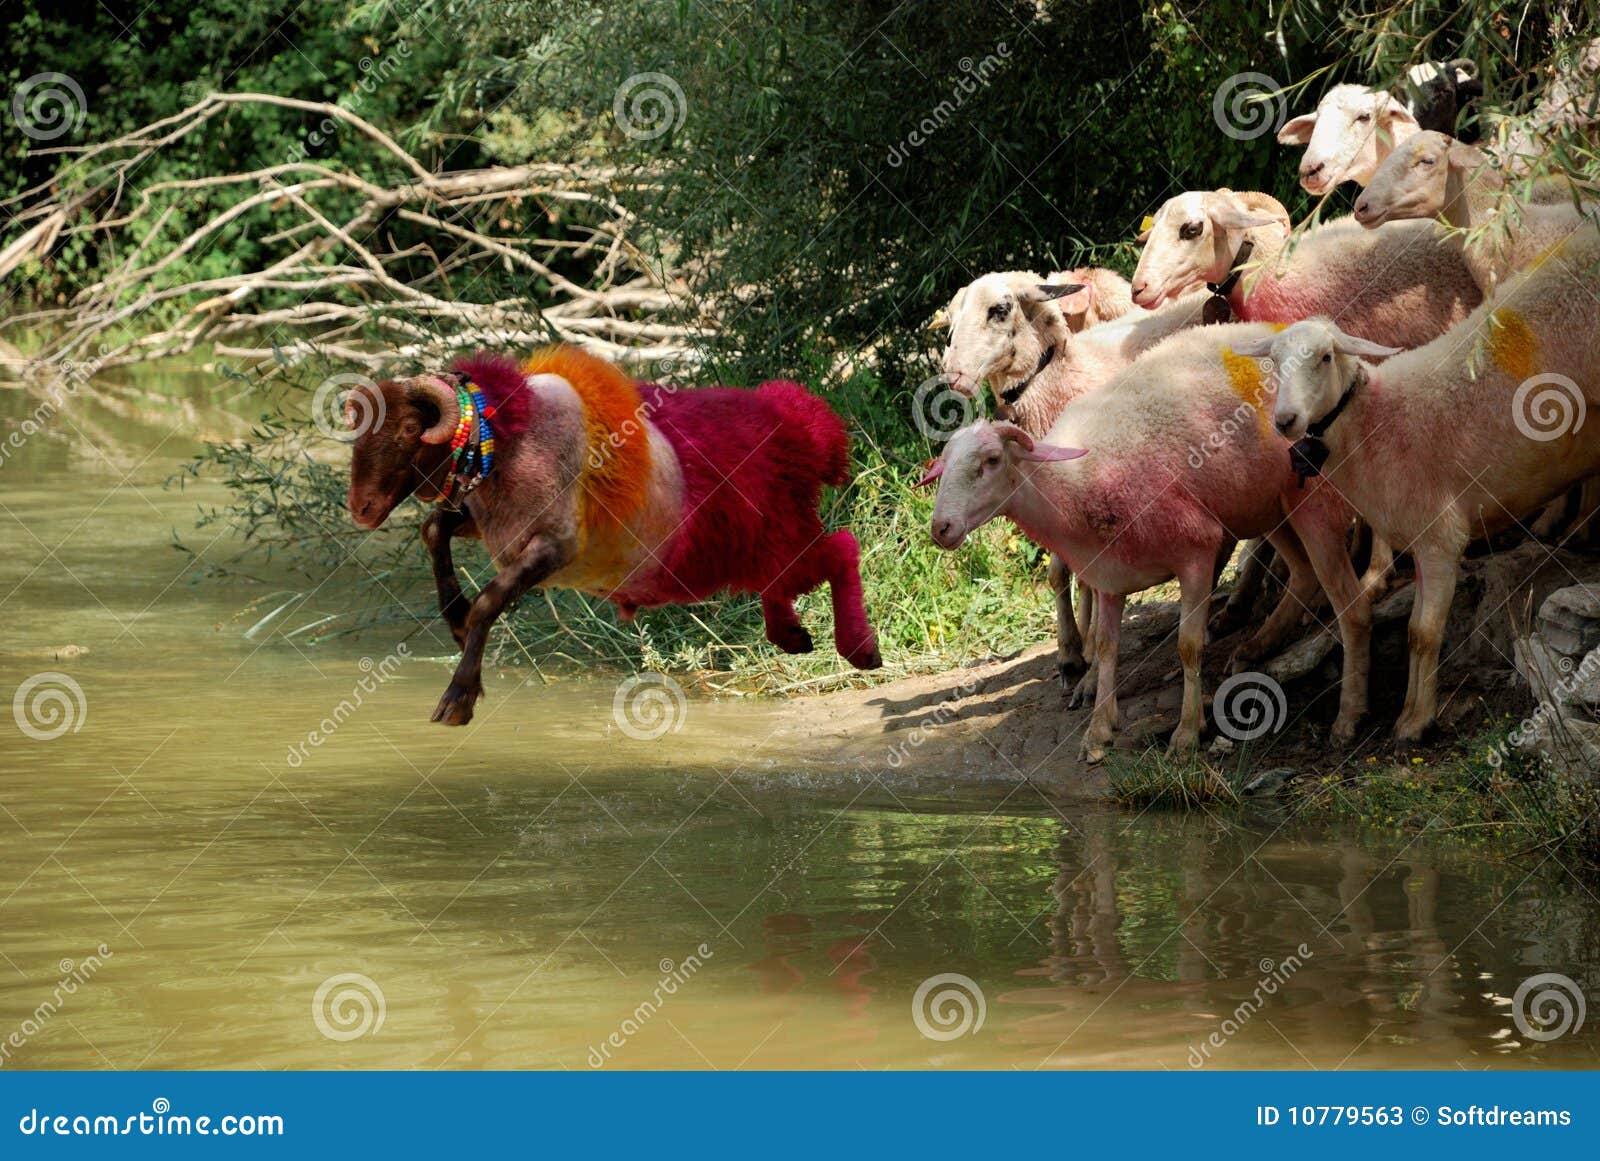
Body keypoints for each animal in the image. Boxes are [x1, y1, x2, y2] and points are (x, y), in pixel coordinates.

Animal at [346, 345, 882, 725]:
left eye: (408, 428)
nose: (360, 509)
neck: (507, 438)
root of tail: (797, 426)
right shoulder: (490, 524)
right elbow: (433, 528)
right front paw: (454, 618)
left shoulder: (555, 544)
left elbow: (488, 600)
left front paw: (458, 698)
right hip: (762, 541)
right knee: (790, 574)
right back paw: (791, 635)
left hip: (776, 533)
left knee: (842, 548)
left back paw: (860, 650)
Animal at [924, 321, 1370, 762]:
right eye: (943, 468)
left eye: (991, 461)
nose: (940, 528)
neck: (1077, 484)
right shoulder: (1108, 574)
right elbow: (1106, 647)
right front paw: (1099, 730)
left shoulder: (1197, 550)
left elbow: (1188, 645)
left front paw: (1187, 734)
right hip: (1267, 506)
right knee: (1303, 574)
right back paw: (1256, 648)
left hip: (1312, 499)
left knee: (1348, 601)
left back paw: (1348, 716)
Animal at [1233, 232, 1600, 742]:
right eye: (1273, 362)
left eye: (1325, 357)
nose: (1285, 421)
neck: (1375, 421)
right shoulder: (1420, 540)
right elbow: (1411, 629)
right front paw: (1409, 709)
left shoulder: (1441, 536)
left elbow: (1426, 634)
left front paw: (1415, 722)